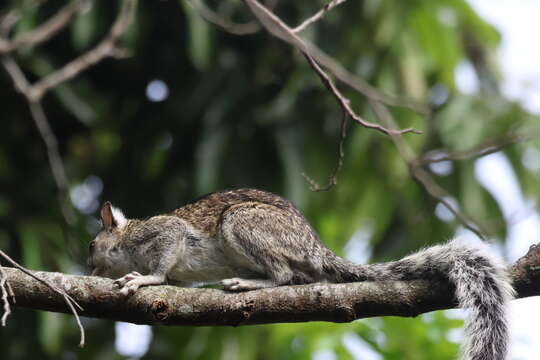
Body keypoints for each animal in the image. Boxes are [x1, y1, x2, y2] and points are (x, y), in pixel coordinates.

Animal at [89, 188, 516, 360]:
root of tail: (314, 248)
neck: (128, 239)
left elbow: (162, 268)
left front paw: (142, 279)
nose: (89, 268)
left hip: (244, 224)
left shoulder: (166, 234)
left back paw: (250, 281)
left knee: (282, 275)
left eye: (93, 246)